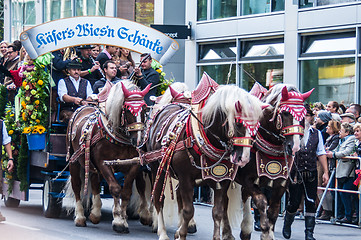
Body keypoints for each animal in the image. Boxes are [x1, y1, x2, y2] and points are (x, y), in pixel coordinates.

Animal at [65, 80, 151, 232]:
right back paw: (80, 217)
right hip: (73, 161)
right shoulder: (103, 163)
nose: (138, 140)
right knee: (77, 185)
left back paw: (95, 213)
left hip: (92, 165)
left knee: (95, 182)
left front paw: (123, 219)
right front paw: (118, 220)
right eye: (127, 110)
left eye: (145, 109)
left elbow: (126, 191)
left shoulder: (133, 165)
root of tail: (84, 107)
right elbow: (115, 188)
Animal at [143, 80, 264, 238]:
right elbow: (188, 210)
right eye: (238, 122)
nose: (243, 158)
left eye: (258, 124)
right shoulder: (185, 178)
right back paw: (162, 232)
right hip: (157, 168)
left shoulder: (222, 180)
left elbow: (218, 212)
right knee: (158, 198)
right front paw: (181, 234)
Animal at [231, 84, 312, 240]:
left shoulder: (281, 184)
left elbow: (273, 211)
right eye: (286, 113)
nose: (295, 146)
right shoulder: (247, 180)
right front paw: (265, 230)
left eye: (303, 114)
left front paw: (268, 231)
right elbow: (261, 202)